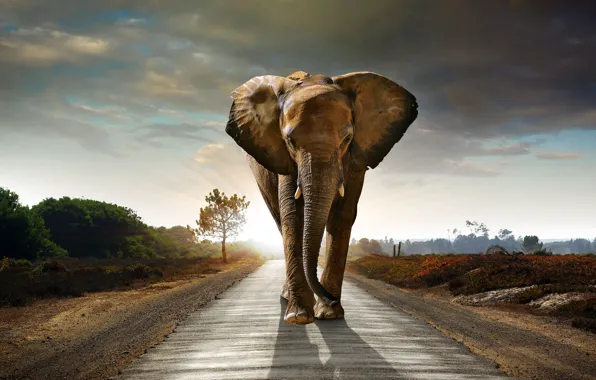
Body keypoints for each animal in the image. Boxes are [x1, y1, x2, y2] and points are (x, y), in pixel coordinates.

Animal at [225, 70, 420, 324]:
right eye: (290, 141)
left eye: (347, 139)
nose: (330, 297)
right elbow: (293, 216)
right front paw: (299, 316)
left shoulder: (356, 159)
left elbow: (342, 216)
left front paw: (329, 314)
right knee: (280, 220)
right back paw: (289, 298)